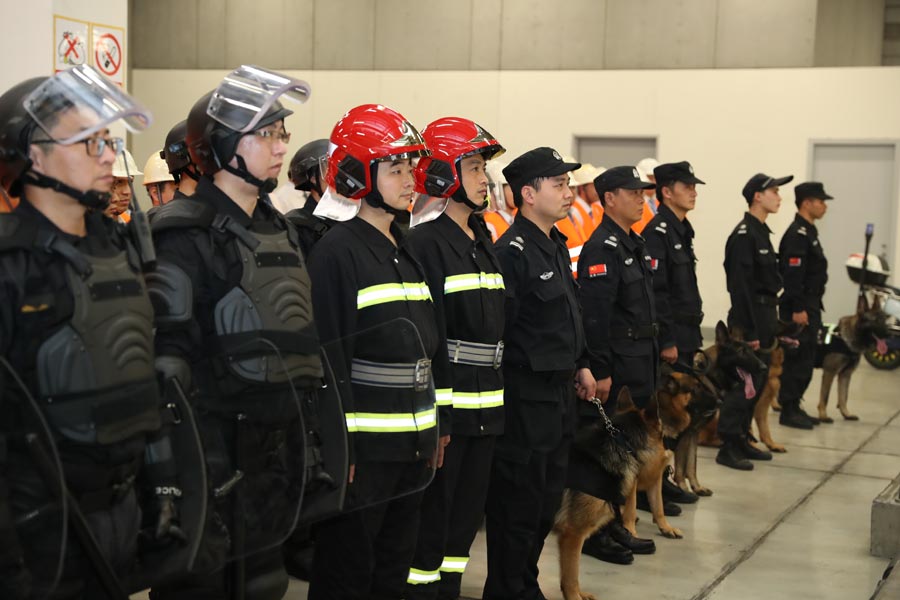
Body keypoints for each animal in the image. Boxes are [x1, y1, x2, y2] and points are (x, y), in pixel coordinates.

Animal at [552, 390, 684, 600]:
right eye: (662, 435)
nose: (667, 458)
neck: (622, 443)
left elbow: (572, 571)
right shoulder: (572, 534)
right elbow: (571, 574)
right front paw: (574, 596)